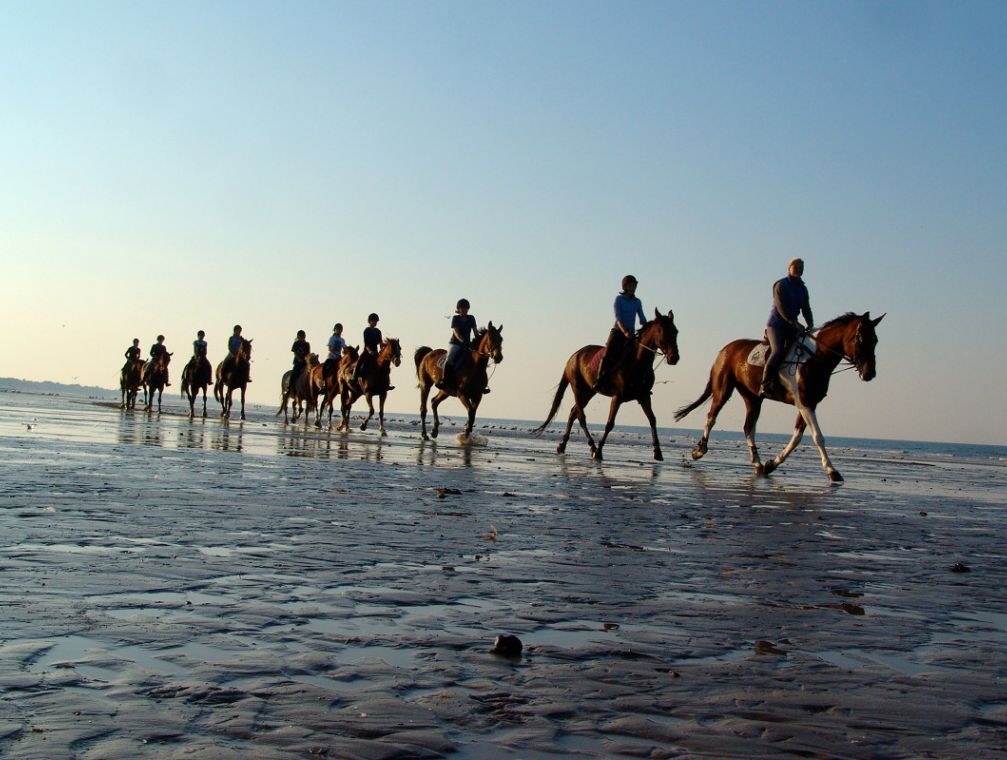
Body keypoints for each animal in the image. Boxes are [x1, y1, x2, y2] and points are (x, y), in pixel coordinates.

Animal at [531, 310, 680, 463]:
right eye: (660, 330)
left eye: (675, 331)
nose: (674, 358)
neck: (637, 363)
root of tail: (572, 357)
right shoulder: (617, 397)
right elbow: (610, 423)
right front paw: (599, 452)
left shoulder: (643, 396)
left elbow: (652, 419)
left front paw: (658, 452)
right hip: (578, 388)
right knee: (581, 416)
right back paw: (592, 447)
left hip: (589, 392)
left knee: (573, 412)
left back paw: (563, 445)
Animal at [676, 310, 882, 481]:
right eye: (859, 338)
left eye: (875, 340)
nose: (869, 373)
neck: (815, 357)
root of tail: (725, 350)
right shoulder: (805, 403)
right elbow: (818, 436)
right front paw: (832, 471)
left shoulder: (808, 404)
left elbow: (797, 437)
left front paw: (771, 464)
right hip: (723, 389)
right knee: (711, 417)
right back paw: (699, 451)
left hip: (753, 398)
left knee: (748, 427)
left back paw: (758, 463)